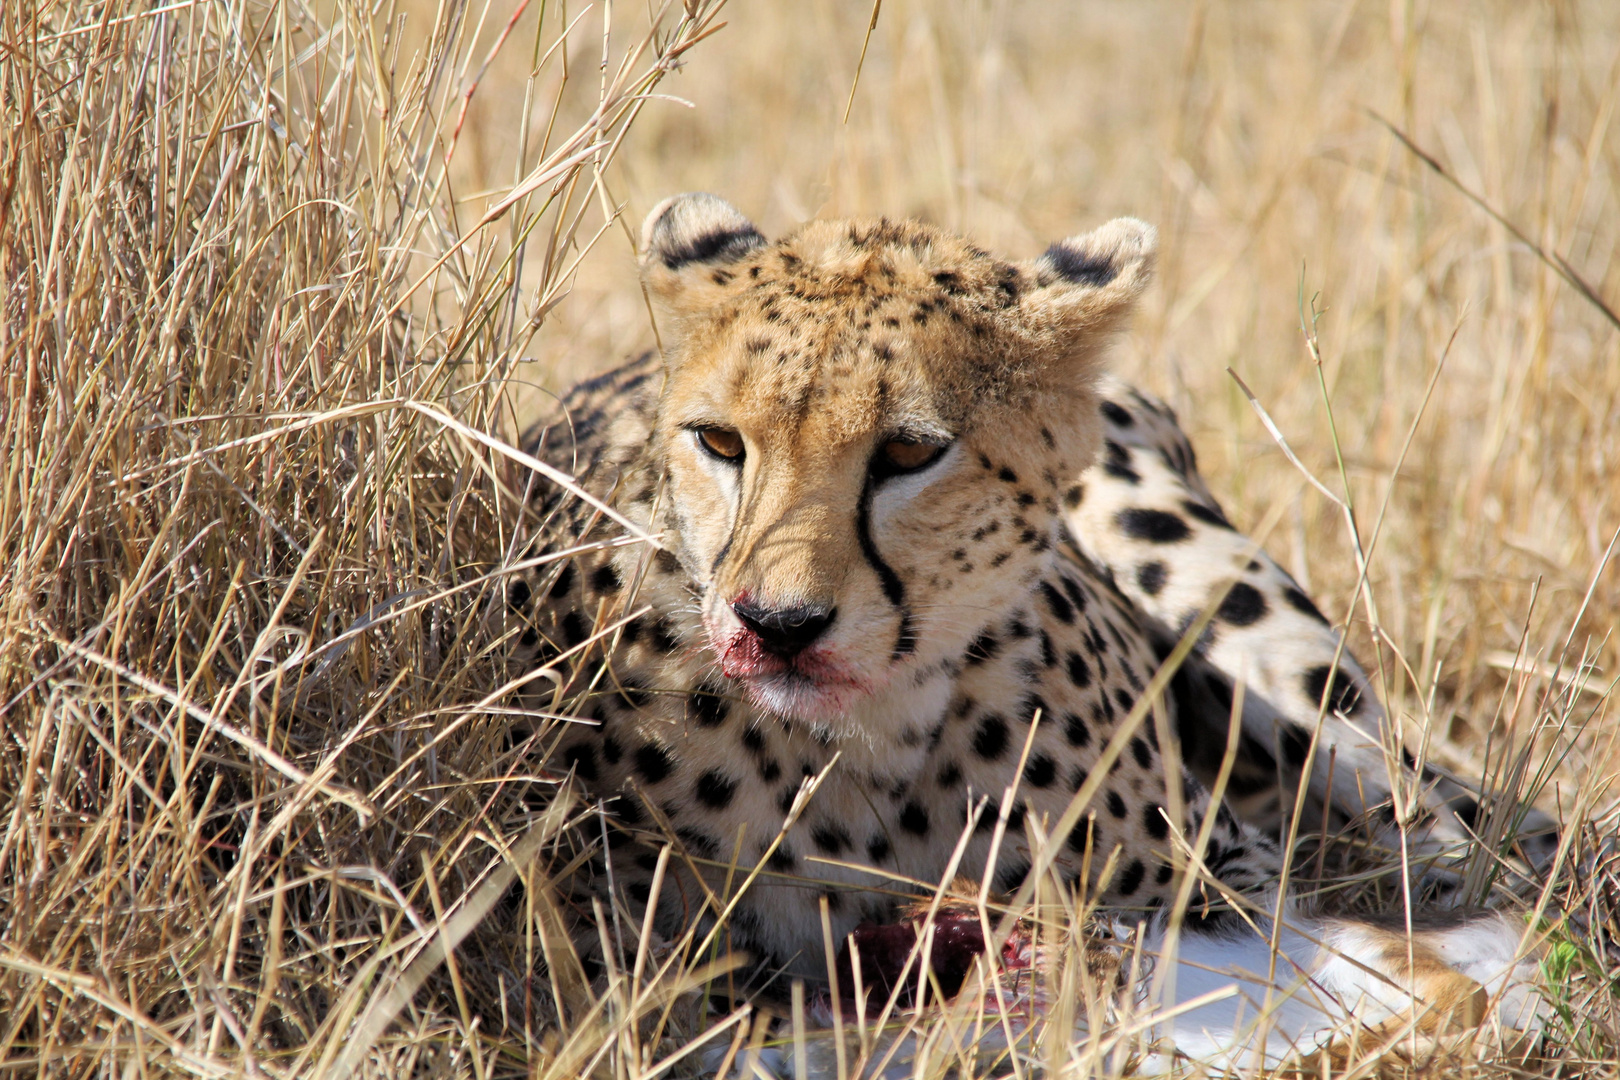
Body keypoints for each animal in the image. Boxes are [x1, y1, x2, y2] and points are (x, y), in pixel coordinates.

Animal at [511, 194, 1548, 1062]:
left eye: (909, 452)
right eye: (719, 441)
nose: (776, 625)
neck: (870, 748)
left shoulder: (1216, 879)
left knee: (1459, 837)